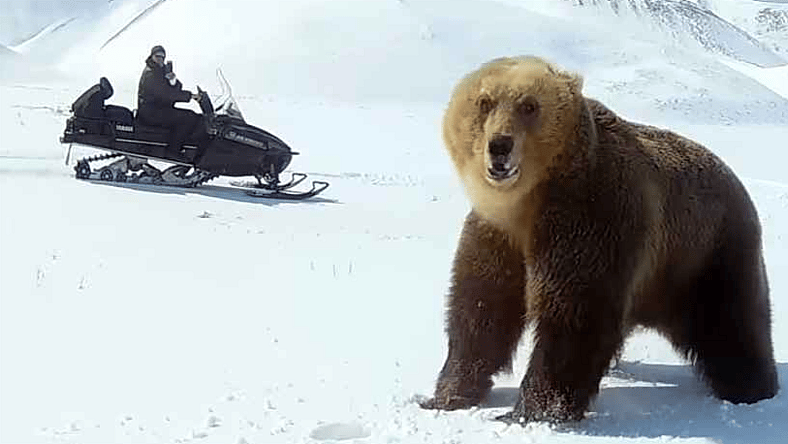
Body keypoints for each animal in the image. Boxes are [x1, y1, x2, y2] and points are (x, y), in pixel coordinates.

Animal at [421, 56, 778, 424]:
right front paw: (448, 394)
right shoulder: (497, 234)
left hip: (705, 252)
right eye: (484, 102)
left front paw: (535, 410)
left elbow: (572, 312)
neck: (528, 201)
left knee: (731, 323)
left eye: (529, 105)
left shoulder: (591, 215)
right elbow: (482, 307)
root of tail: (735, 179)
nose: (500, 145)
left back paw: (751, 388)